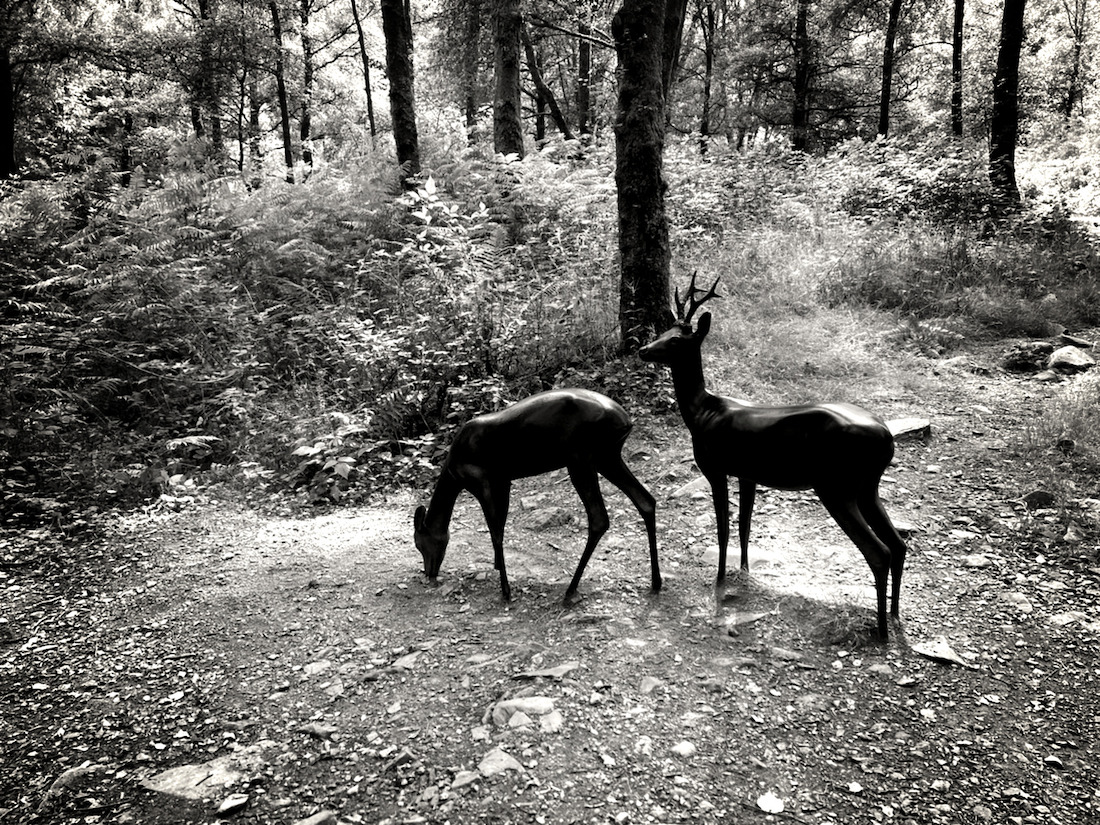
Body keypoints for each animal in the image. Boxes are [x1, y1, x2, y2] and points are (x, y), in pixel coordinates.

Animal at [413, 388, 662, 602]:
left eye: (419, 542)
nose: (429, 573)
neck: (453, 469)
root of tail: (625, 421)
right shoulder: (503, 482)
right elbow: (501, 525)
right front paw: (496, 566)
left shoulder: (482, 482)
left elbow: (495, 532)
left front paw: (505, 590)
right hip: (607, 457)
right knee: (646, 501)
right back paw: (656, 582)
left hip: (581, 459)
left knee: (599, 519)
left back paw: (570, 590)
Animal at [638, 273, 909, 639]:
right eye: (665, 332)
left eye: (677, 340)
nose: (643, 350)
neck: (701, 412)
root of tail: (886, 438)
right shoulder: (747, 472)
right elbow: (745, 524)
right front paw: (744, 570)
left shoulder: (715, 466)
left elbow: (723, 527)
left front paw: (720, 578)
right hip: (867, 485)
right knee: (898, 545)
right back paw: (894, 614)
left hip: (836, 485)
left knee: (879, 551)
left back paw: (880, 630)